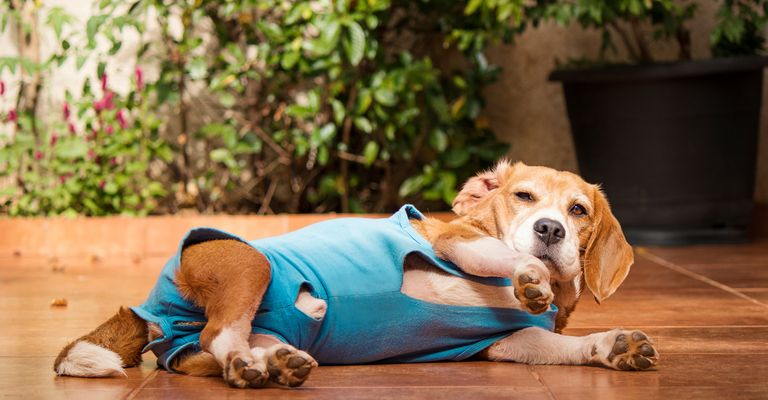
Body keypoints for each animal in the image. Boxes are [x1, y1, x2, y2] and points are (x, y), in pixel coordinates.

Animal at [54, 162, 656, 388]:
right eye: (524, 197)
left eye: (578, 210)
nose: (551, 230)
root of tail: (151, 310)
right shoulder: (455, 243)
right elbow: (499, 255)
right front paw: (528, 273)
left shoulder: (507, 341)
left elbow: (567, 347)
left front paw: (614, 346)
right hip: (252, 264)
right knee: (220, 333)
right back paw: (253, 365)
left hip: (240, 330)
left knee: (227, 343)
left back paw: (272, 362)